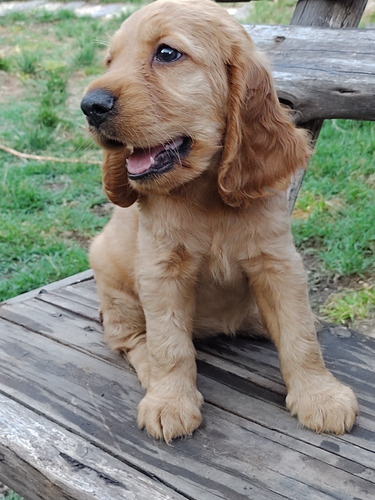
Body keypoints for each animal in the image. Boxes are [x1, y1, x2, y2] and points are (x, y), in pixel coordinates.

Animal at [81, 0, 358, 442]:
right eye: (110, 61)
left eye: (167, 53)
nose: (90, 106)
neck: (206, 198)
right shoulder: (160, 271)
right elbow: (169, 344)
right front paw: (170, 402)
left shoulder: (278, 263)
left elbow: (300, 334)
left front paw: (320, 395)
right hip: (111, 278)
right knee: (132, 339)